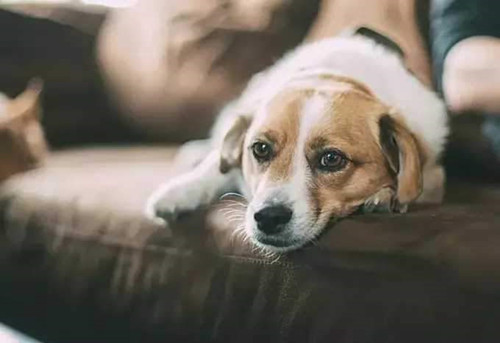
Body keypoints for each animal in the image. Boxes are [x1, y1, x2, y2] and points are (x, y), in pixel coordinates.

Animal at [145, 28, 450, 253]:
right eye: (260, 149)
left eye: (331, 159)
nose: (269, 217)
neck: (332, 75)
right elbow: (215, 166)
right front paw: (179, 191)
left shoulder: (433, 173)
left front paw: (384, 195)